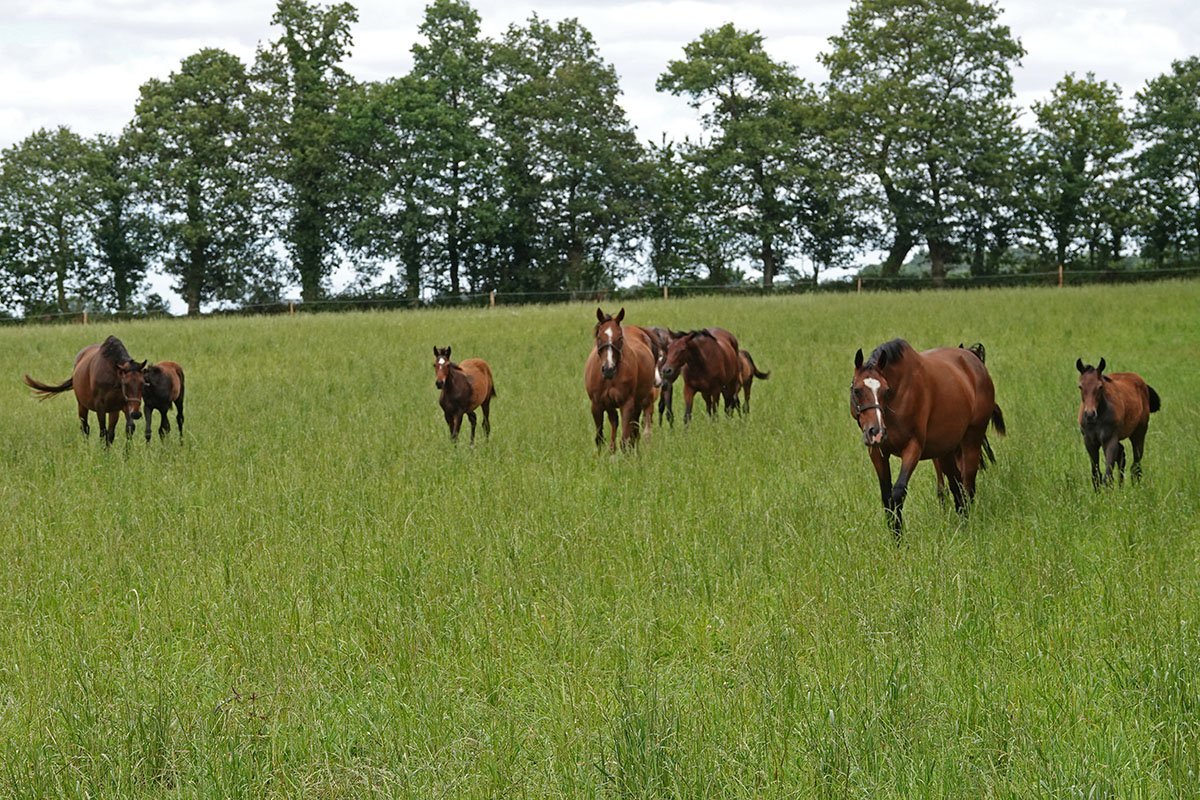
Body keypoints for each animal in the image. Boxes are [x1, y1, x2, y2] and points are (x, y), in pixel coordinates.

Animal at [584, 307, 657, 451]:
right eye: (599, 337)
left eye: (620, 338)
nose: (608, 369)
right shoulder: (597, 404)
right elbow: (599, 438)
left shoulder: (627, 404)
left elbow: (625, 439)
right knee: (616, 424)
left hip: (640, 401)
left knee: (635, 430)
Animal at [850, 339, 1006, 538]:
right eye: (857, 390)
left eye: (886, 390)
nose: (876, 432)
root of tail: (974, 360)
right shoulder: (877, 453)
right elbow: (887, 498)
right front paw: (894, 540)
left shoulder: (913, 448)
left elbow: (898, 493)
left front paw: (901, 540)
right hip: (946, 452)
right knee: (956, 488)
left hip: (972, 440)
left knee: (968, 487)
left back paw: (966, 528)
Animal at [1076, 357, 1160, 487]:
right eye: (1080, 386)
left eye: (1100, 387)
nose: (1090, 414)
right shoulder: (1089, 442)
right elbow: (1096, 475)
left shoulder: (1110, 440)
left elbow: (1108, 476)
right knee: (1122, 456)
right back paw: (1121, 487)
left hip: (1138, 433)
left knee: (1136, 464)